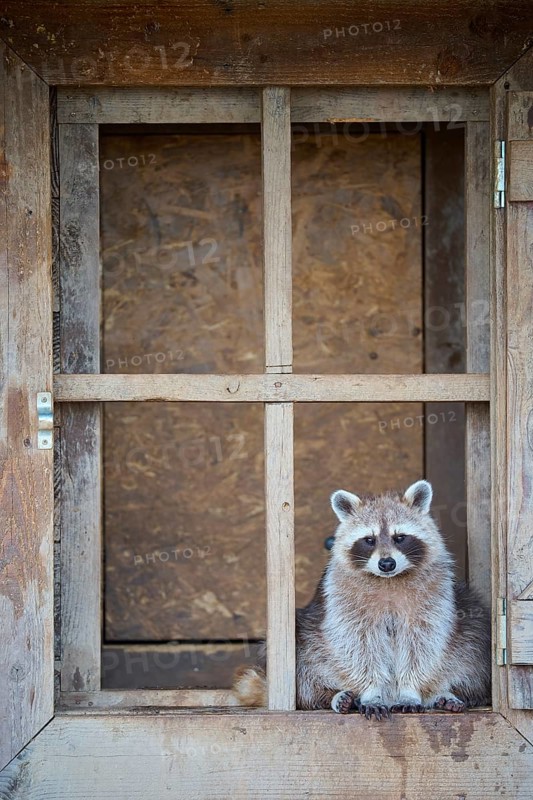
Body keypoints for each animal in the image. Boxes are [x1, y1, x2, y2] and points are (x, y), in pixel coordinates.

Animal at [233, 480, 491, 719]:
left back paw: (443, 694)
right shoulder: (343, 602)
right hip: (306, 638)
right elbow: (359, 646)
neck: (388, 579)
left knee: (472, 645)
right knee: (305, 669)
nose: (386, 563)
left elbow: (422, 644)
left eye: (400, 537)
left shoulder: (434, 597)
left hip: (469, 627)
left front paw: (410, 690)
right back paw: (334, 696)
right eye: (369, 539)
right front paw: (372, 692)